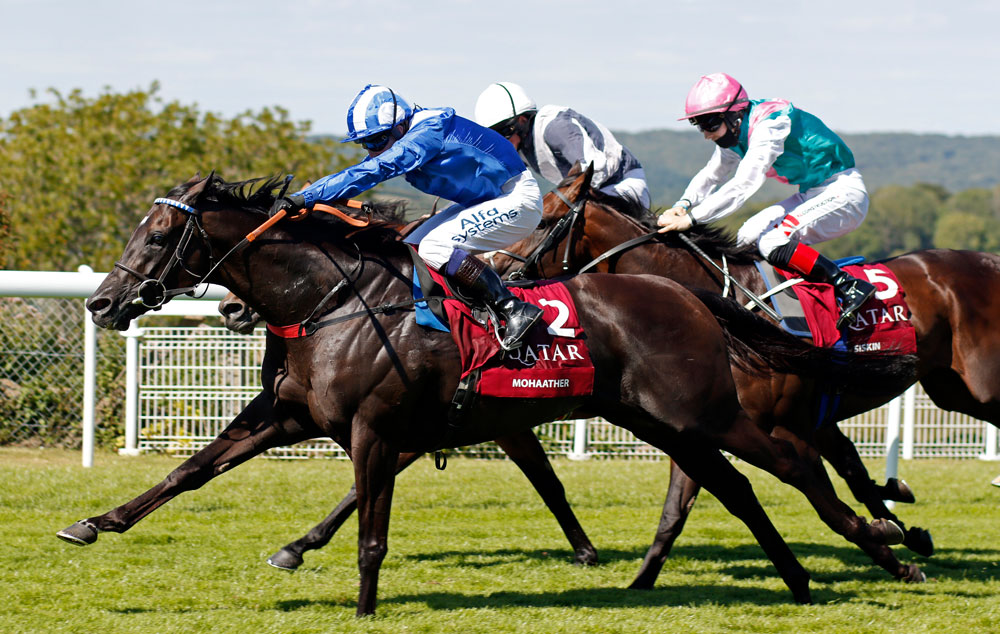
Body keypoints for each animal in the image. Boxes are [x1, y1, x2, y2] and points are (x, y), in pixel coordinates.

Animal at [62, 173, 916, 612]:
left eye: (157, 235)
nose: (102, 303)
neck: (333, 302)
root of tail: (688, 293)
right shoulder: (290, 413)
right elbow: (190, 470)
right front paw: (93, 523)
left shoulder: (377, 428)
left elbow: (372, 530)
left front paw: (364, 606)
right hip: (659, 420)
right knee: (734, 487)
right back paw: (799, 579)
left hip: (703, 411)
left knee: (793, 465)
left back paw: (886, 544)